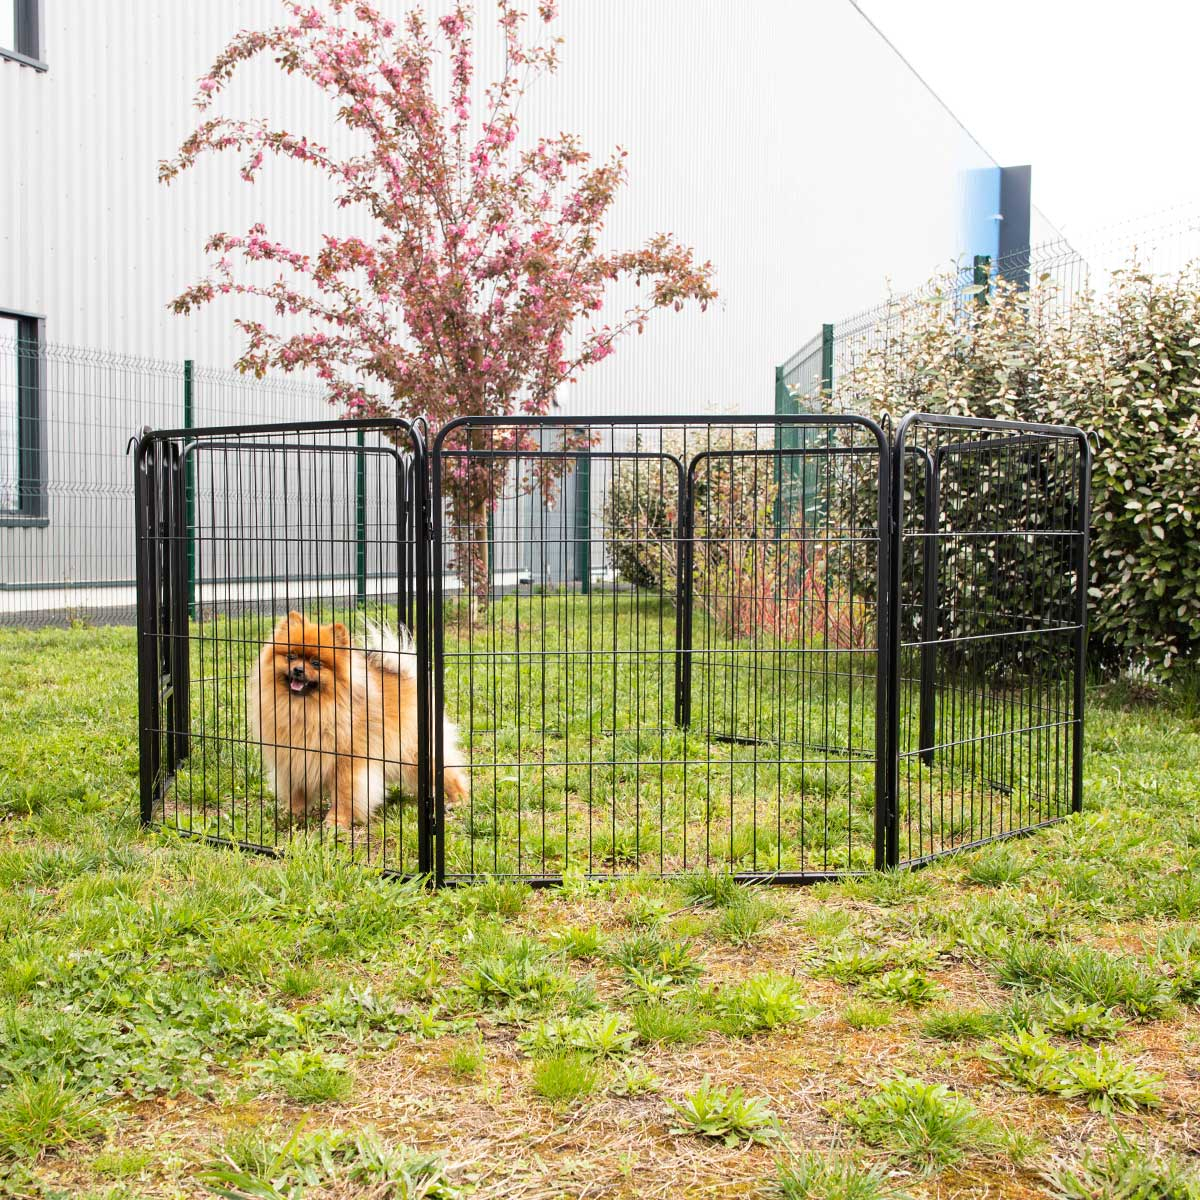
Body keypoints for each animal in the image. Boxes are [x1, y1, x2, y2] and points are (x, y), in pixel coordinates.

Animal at [246, 609, 465, 825]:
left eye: (316, 663)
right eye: (291, 656)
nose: (298, 669)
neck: (308, 709)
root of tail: (407, 675)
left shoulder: (347, 761)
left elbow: (345, 793)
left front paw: (337, 820)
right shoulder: (293, 758)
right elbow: (297, 792)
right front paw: (293, 815)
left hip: (414, 751)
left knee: (448, 772)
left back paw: (458, 800)